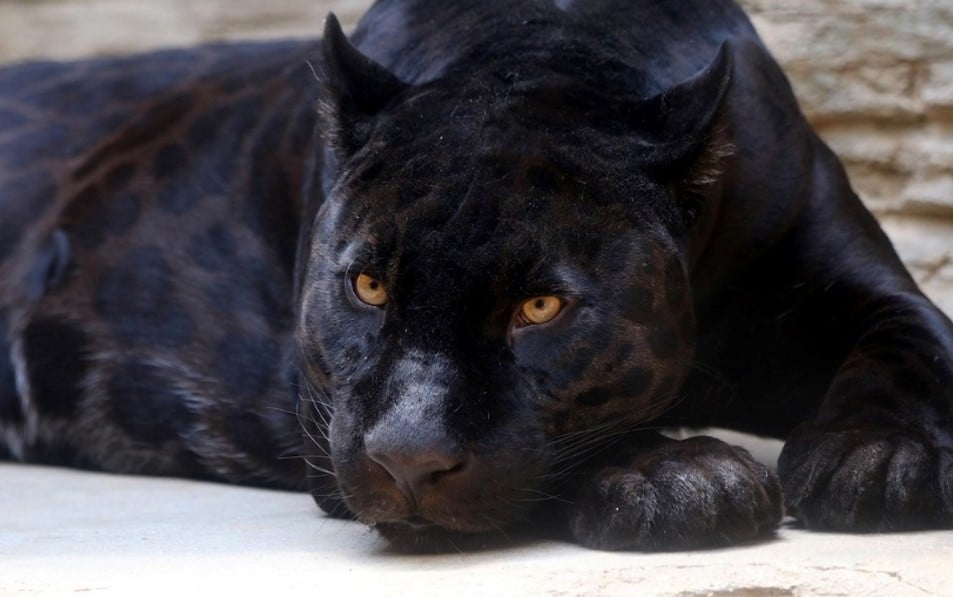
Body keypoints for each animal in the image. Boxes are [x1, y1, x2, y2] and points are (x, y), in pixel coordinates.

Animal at [2, 0, 951, 552]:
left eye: (541, 306)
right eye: (368, 287)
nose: (408, 460)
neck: (545, 47)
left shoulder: (858, 282)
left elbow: (913, 346)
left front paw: (877, 457)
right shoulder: (322, 416)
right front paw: (680, 475)